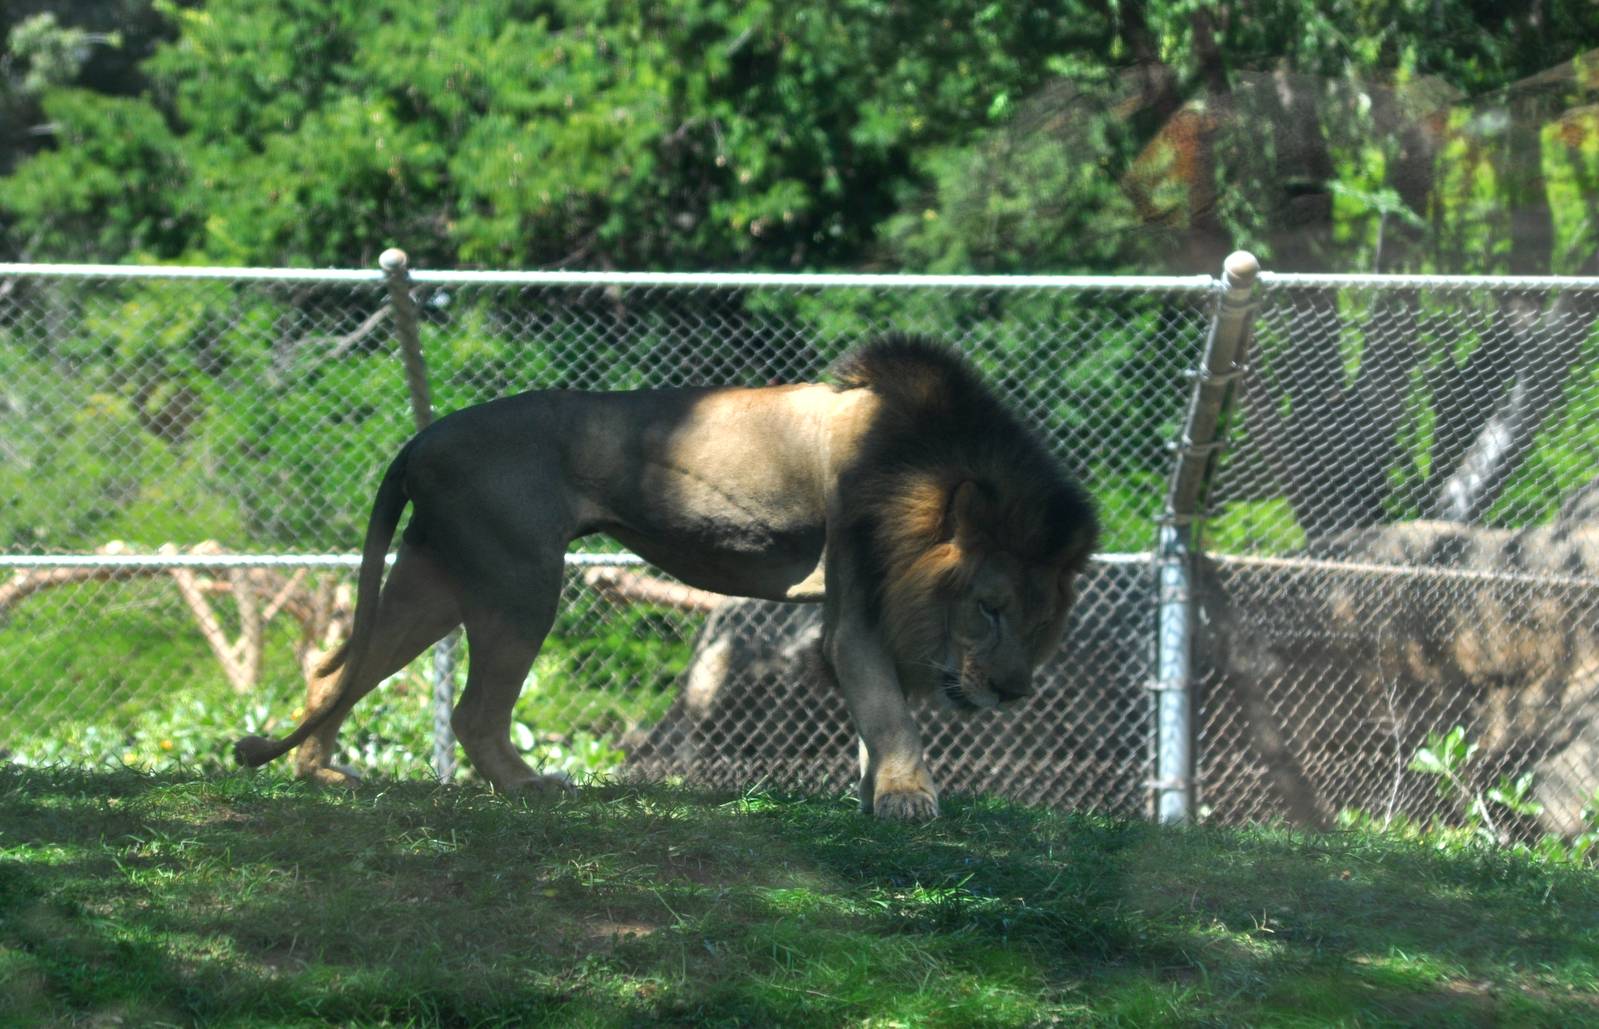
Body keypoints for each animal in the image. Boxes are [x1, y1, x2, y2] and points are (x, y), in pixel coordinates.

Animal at [233, 336, 1098, 819]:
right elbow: (888, 708)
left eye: (1040, 621)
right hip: (519, 578)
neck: (914, 467)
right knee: (472, 710)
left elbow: (875, 719)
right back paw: (531, 788)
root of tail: (419, 438)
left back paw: (318, 772)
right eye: (987, 608)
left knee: (335, 671)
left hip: (439, 574)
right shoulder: (855, 605)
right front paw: (907, 798)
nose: (1012, 690)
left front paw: (873, 793)